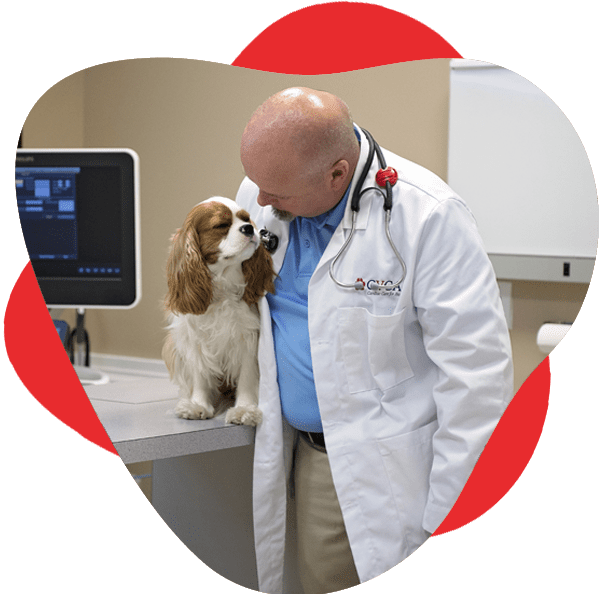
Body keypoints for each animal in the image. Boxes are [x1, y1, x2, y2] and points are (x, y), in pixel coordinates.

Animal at [164, 198, 276, 426]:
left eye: (245, 218)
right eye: (221, 225)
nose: (249, 228)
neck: (223, 286)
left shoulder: (247, 338)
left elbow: (247, 376)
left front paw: (244, 409)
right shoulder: (195, 339)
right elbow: (199, 373)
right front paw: (197, 405)